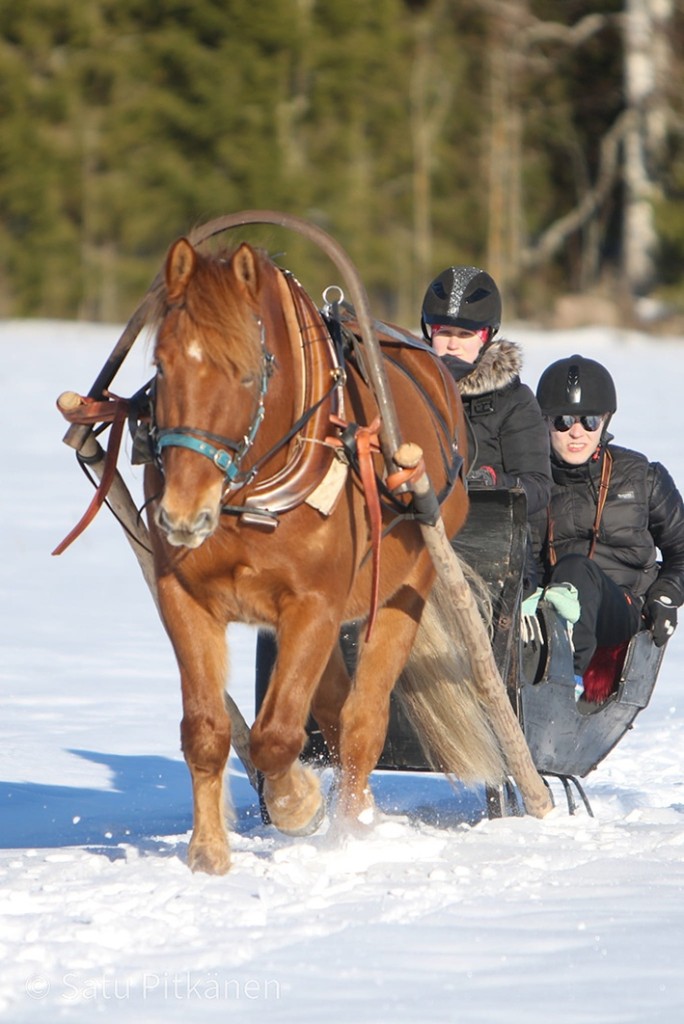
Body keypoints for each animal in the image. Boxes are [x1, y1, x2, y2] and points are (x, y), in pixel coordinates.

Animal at [145, 239, 507, 872]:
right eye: (161, 367)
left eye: (248, 372)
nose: (183, 516)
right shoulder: (183, 597)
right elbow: (208, 731)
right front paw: (209, 852)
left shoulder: (314, 605)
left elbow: (276, 735)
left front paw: (298, 805)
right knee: (337, 714)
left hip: (404, 591)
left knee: (363, 720)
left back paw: (354, 827)